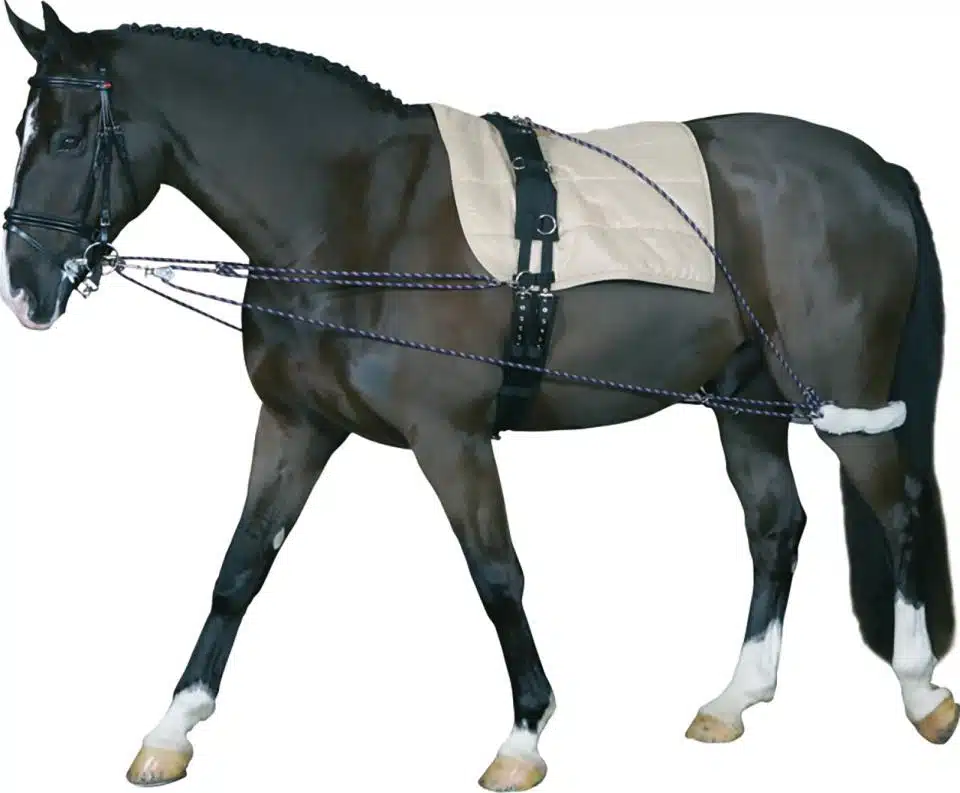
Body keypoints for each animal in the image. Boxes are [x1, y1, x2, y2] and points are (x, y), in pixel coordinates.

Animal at [2, 3, 955, 790]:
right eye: (24, 127)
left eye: (68, 139)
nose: (24, 287)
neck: (359, 212)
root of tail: (878, 168)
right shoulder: (295, 425)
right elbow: (240, 568)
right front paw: (172, 727)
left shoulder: (451, 437)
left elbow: (497, 574)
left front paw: (525, 736)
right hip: (745, 405)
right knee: (775, 525)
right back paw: (736, 697)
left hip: (840, 399)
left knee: (898, 505)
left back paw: (920, 692)